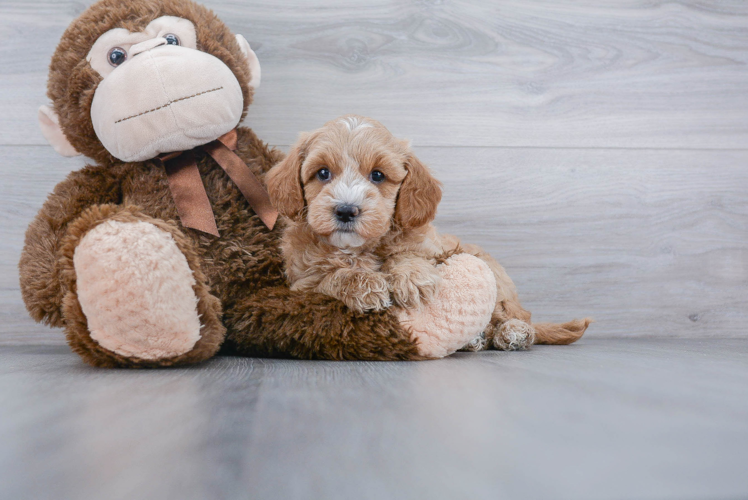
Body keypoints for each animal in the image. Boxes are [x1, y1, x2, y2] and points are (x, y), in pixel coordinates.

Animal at [268, 116, 592, 352]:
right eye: (322, 173)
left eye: (377, 175)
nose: (346, 210)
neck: (360, 247)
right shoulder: (301, 283)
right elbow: (330, 276)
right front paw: (364, 285)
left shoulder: (431, 248)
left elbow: (410, 254)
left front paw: (412, 279)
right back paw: (477, 340)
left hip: (496, 280)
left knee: (517, 317)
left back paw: (513, 332)